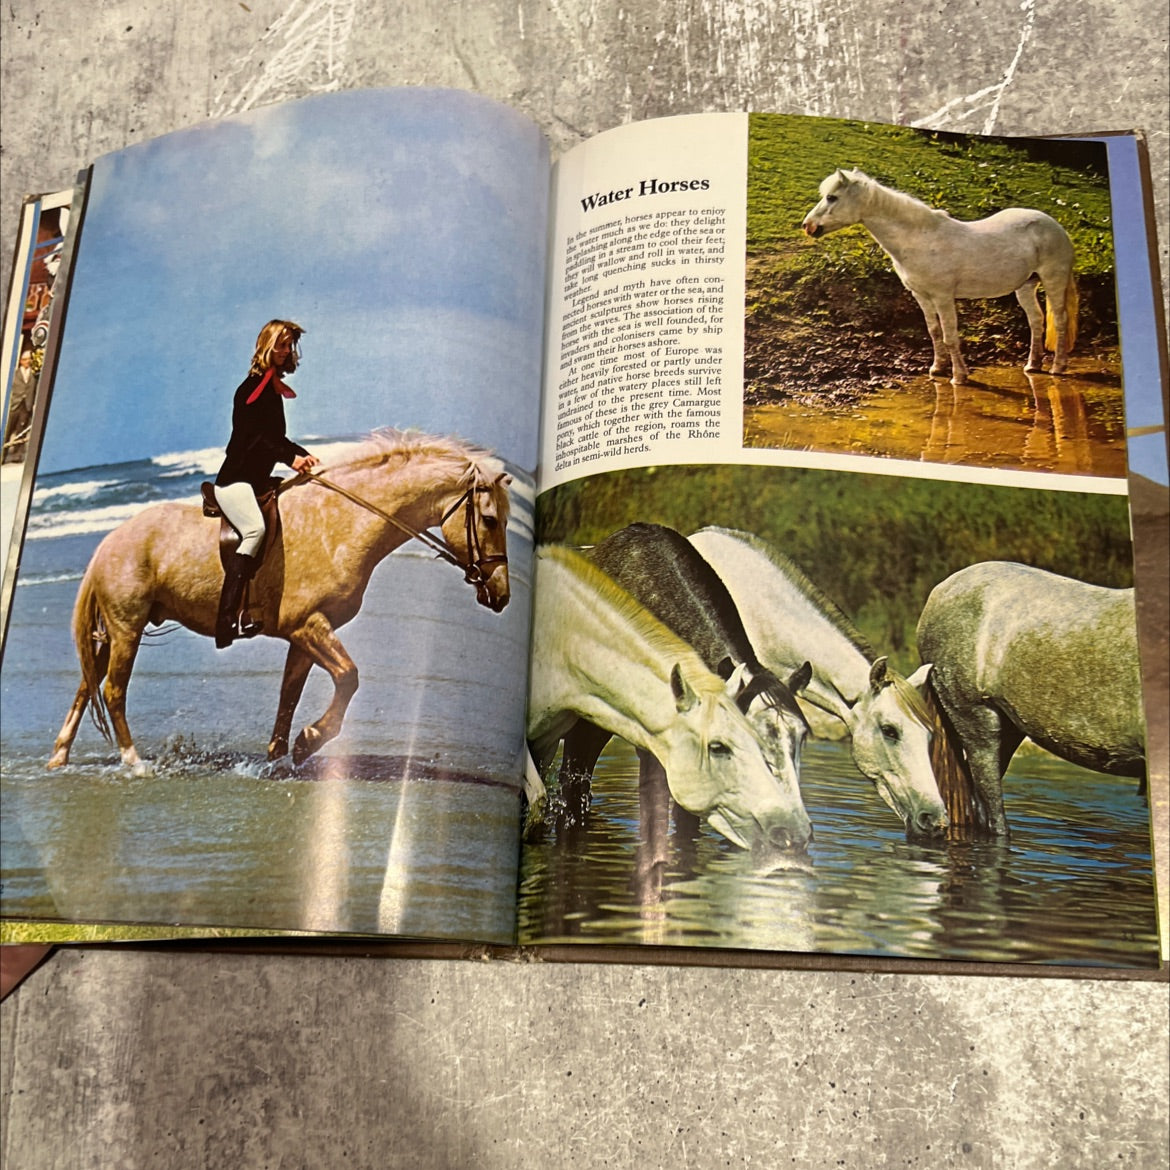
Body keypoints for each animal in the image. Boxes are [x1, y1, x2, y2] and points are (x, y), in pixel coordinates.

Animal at [47, 429, 512, 773]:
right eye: (490, 519)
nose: (502, 595)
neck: (341, 523)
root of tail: (109, 542)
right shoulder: (307, 625)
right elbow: (348, 677)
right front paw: (309, 742)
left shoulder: (304, 634)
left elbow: (289, 695)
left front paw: (279, 758)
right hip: (127, 628)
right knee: (112, 690)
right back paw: (134, 762)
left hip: (112, 633)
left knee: (87, 685)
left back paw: (59, 757)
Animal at [801, 168, 1078, 386]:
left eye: (832, 197)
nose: (808, 226)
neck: (920, 239)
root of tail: (1054, 225)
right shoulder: (921, 296)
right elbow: (934, 331)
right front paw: (937, 369)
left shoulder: (943, 297)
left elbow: (950, 335)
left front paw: (959, 376)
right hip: (1025, 286)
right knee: (1036, 320)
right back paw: (1033, 365)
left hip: (1053, 280)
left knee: (1060, 320)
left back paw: (1058, 367)